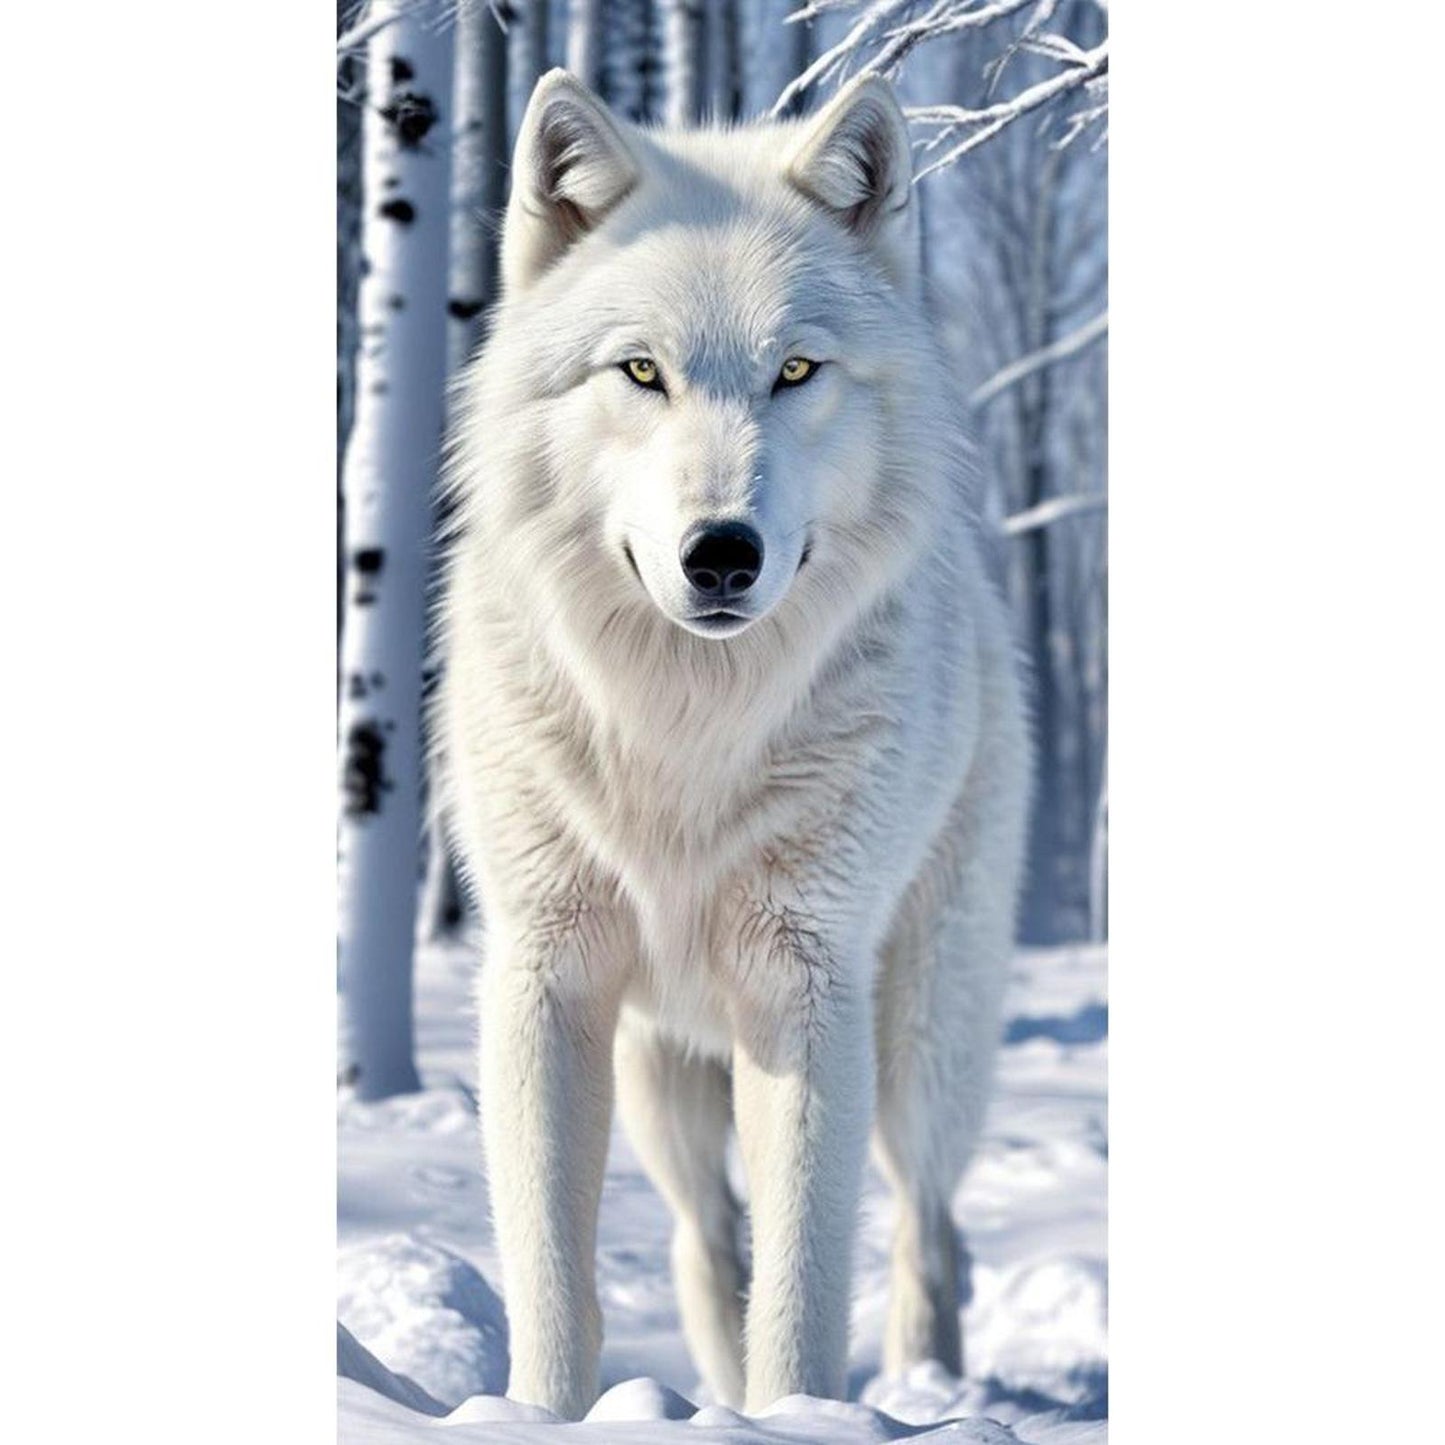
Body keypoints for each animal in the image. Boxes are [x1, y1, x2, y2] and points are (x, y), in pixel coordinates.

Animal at [437, 68, 1031, 1420]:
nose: (720, 553)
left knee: (927, 1227)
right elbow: (553, 1274)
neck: (683, 726)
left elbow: (805, 1285)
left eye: (796, 369)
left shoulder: (804, 983)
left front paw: (801, 1419)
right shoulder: (545, 976)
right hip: (663, 1077)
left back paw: (924, 1383)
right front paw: (541, 1416)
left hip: (921, 1033)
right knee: (707, 1245)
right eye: (640, 372)